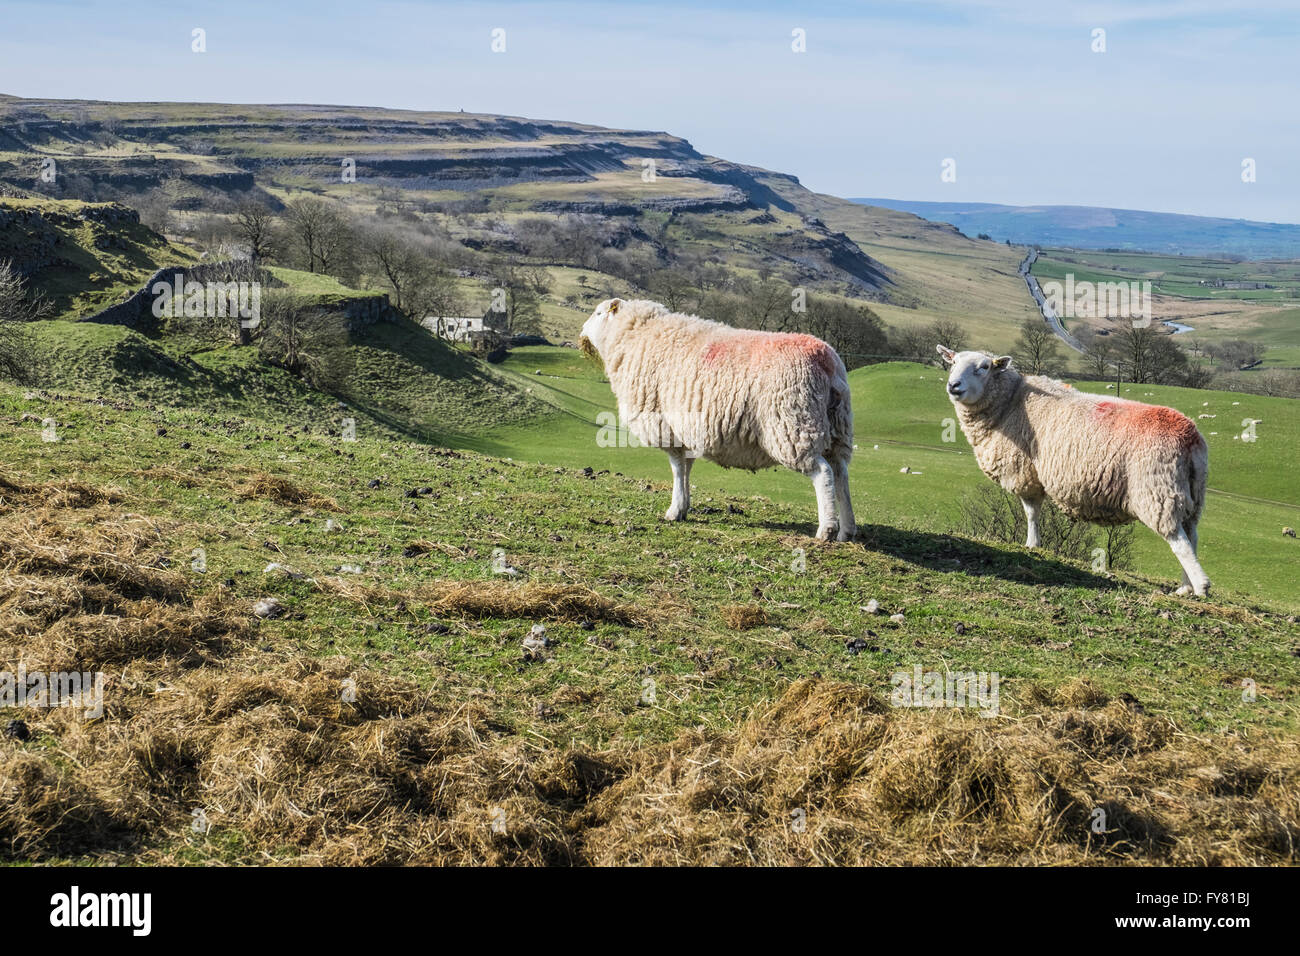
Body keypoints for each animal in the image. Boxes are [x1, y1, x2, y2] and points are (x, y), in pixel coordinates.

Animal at [585, 295, 857, 541]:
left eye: (598, 313)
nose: (583, 331)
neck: (636, 336)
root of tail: (826, 360)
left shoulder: (667, 427)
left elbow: (677, 469)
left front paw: (674, 510)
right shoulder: (686, 432)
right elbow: (686, 468)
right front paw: (683, 507)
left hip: (793, 425)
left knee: (822, 473)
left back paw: (826, 530)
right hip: (837, 428)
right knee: (841, 474)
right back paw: (847, 531)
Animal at [941, 343, 1211, 598]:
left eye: (984, 367)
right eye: (953, 362)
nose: (954, 386)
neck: (1010, 402)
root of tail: (1190, 438)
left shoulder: (1026, 472)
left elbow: (1031, 513)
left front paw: (1032, 544)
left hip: (1157, 491)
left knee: (1179, 541)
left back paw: (1200, 587)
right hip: (1191, 495)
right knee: (1192, 536)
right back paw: (1185, 587)